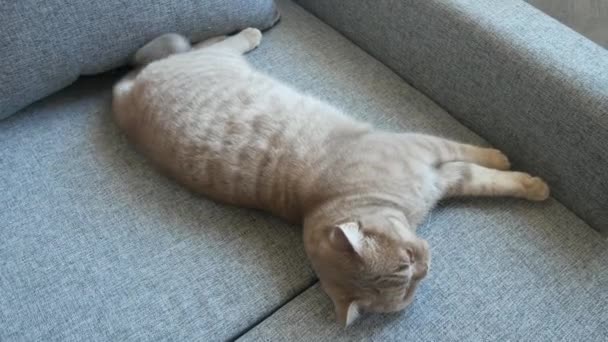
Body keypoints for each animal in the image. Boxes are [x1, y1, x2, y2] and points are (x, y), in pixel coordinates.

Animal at [113, 28, 552, 324]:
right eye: (408, 282)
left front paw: (509, 162)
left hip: (219, 59)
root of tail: (121, 100)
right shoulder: (441, 173)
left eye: (409, 261)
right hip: (212, 61)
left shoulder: (429, 149)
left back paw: (248, 31)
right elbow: (484, 177)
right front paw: (530, 182)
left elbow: (476, 157)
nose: (426, 266)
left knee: (213, 42)